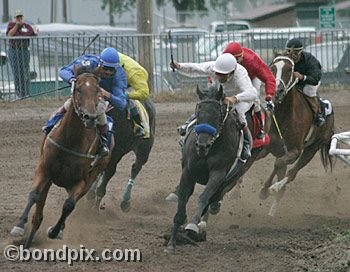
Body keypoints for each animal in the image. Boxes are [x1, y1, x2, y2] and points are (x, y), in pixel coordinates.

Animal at [10, 66, 110, 249]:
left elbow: (69, 205)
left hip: (89, 177)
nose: (90, 118)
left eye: (97, 90)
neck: (70, 140)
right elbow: (34, 195)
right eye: (78, 89)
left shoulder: (81, 181)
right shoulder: (44, 170)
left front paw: (54, 231)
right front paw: (19, 227)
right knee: (38, 216)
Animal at [167, 85, 246, 253]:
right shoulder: (187, 173)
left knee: (213, 198)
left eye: (217, 115)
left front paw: (192, 226)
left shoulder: (218, 173)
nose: (202, 145)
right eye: (198, 113)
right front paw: (171, 243)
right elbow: (181, 203)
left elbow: (203, 197)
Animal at [258, 54, 334, 215]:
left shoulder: (295, 150)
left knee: (292, 173)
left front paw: (266, 189)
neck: (284, 118)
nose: (277, 91)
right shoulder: (267, 147)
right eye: (272, 68)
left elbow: (279, 163)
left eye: (289, 70)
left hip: (312, 148)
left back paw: (276, 188)